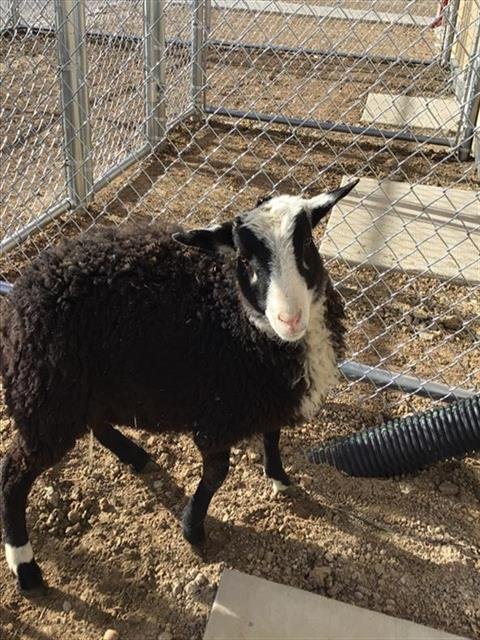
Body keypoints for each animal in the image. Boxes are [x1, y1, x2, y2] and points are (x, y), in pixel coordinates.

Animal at [0, 178, 358, 593]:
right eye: (244, 260)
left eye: (306, 245)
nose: (290, 318)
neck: (233, 314)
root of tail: (24, 288)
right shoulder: (217, 413)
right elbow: (218, 471)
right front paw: (193, 529)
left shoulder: (265, 394)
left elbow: (272, 436)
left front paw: (280, 479)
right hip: (46, 396)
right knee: (13, 473)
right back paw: (24, 566)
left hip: (82, 386)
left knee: (97, 423)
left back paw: (134, 454)